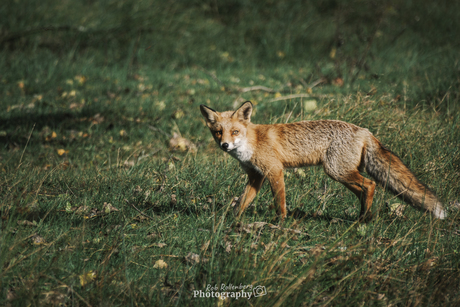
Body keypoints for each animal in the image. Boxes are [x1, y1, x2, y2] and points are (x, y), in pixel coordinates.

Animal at [199, 102, 448, 223]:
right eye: (218, 132)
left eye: (235, 131)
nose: (225, 145)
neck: (252, 141)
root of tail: (364, 130)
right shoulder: (255, 176)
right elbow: (242, 202)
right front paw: (231, 222)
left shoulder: (275, 171)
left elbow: (280, 203)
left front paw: (280, 224)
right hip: (341, 173)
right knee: (364, 190)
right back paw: (362, 218)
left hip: (336, 171)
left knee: (371, 185)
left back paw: (364, 221)